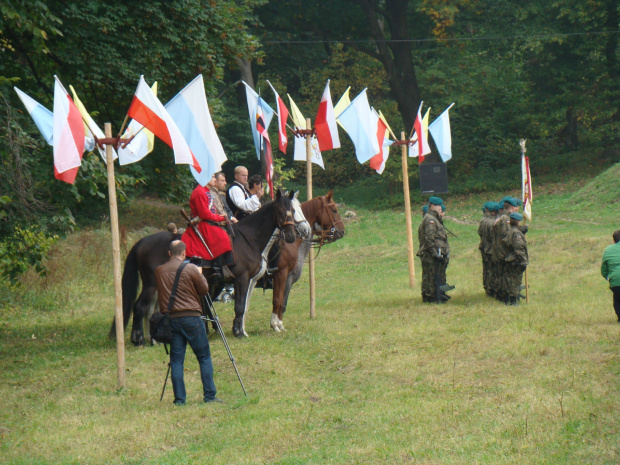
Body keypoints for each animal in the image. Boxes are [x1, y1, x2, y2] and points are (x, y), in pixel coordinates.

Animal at [111, 188, 306, 344]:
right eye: (281, 210)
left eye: (292, 210)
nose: (292, 235)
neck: (248, 239)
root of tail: (141, 242)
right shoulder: (242, 279)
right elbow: (240, 306)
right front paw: (238, 332)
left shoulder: (247, 280)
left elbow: (244, 306)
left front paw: (242, 330)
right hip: (151, 284)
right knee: (139, 307)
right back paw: (138, 339)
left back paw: (154, 339)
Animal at [268, 190, 346, 332]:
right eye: (334, 209)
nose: (342, 231)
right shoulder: (282, 275)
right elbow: (279, 301)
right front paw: (276, 325)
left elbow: (282, 301)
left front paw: (279, 324)